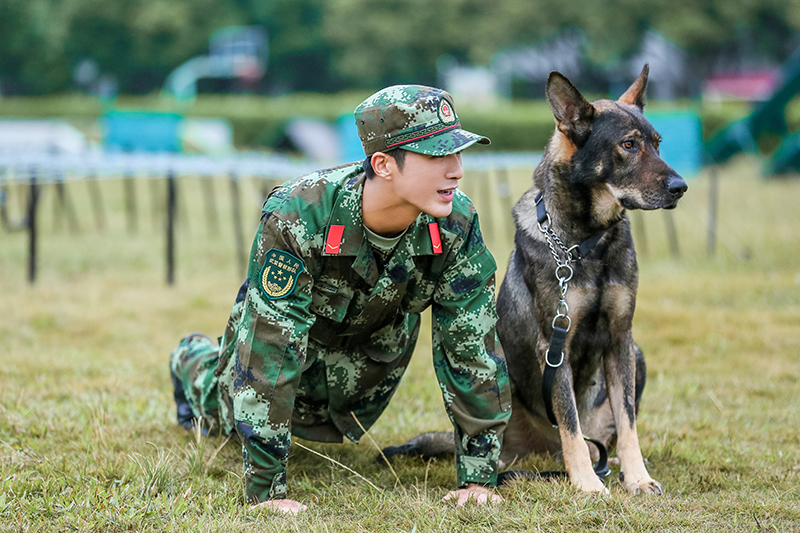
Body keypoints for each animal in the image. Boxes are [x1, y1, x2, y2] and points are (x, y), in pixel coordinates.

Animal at [382, 65, 688, 494]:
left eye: (658, 144)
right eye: (628, 145)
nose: (681, 188)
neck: (586, 242)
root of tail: (541, 451)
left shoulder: (620, 339)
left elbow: (628, 425)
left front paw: (638, 478)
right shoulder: (554, 345)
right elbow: (570, 423)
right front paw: (587, 485)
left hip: (636, 358)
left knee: (599, 438)